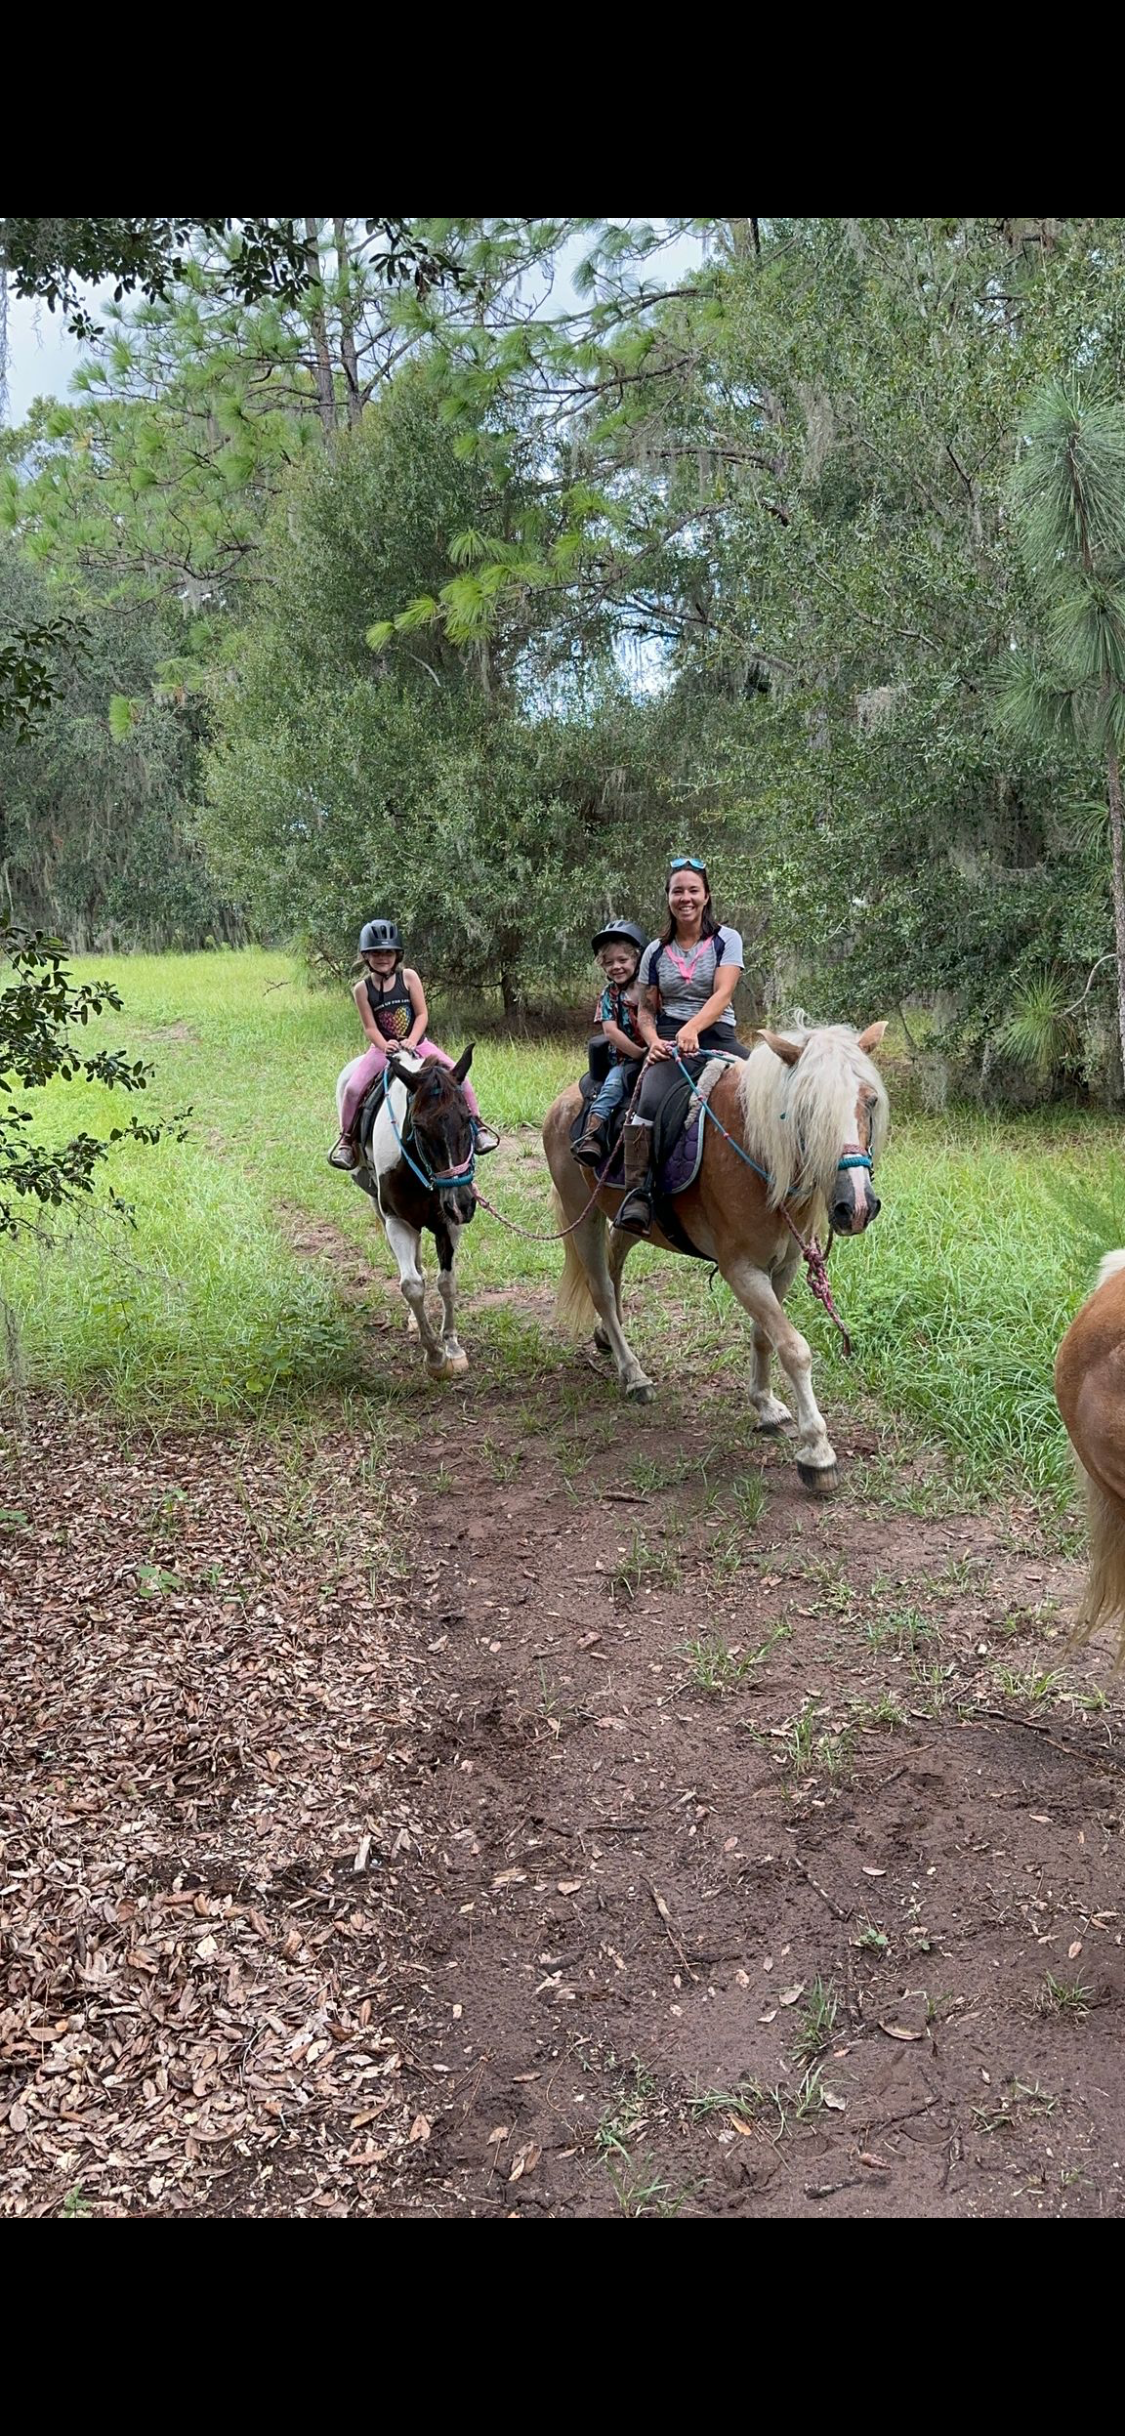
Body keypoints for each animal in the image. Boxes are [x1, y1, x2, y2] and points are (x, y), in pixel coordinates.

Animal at [333, 1047, 474, 1383]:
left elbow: (446, 1282)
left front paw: (452, 1349)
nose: (462, 1204)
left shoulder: (448, 1224)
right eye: (419, 1127)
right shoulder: (397, 1221)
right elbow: (411, 1284)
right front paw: (434, 1357)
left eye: (468, 1118)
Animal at [543, 1023, 886, 1490]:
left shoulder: (784, 1266)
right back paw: (633, 1374)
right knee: (601, 1290)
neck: (758, 1152)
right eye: (806, 1109)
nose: (858, 1206)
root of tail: (563, 1102)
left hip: (635, 1219)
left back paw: (606, 1340)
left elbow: (765, 1336)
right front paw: (817, 1452)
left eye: (870, 1101)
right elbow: (793, 1347)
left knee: (615, 1259)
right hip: (583, 1212)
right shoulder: (740, 1269)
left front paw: (767, 1406)